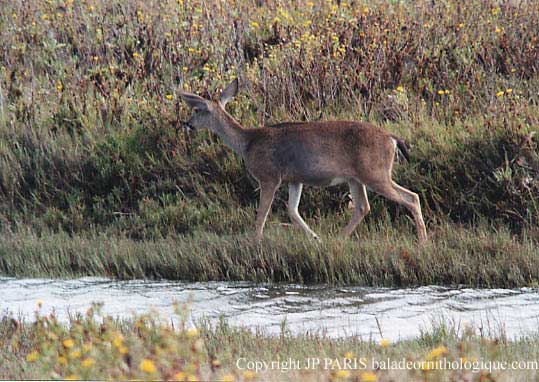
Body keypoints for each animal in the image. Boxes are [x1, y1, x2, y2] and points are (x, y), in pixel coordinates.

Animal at [179, 79, 428, 243]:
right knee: (363, 206)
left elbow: (262, 214)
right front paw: (315, 237)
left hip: (374, 172)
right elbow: (292, 210)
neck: (247, 142)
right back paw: (337, 239)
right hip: (356, 177)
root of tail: (392, 139)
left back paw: (422, 240)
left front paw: (256, 241)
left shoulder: (269, 176)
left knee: (411, 197)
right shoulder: (294, 178)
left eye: (198, 109)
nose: (187, 124)